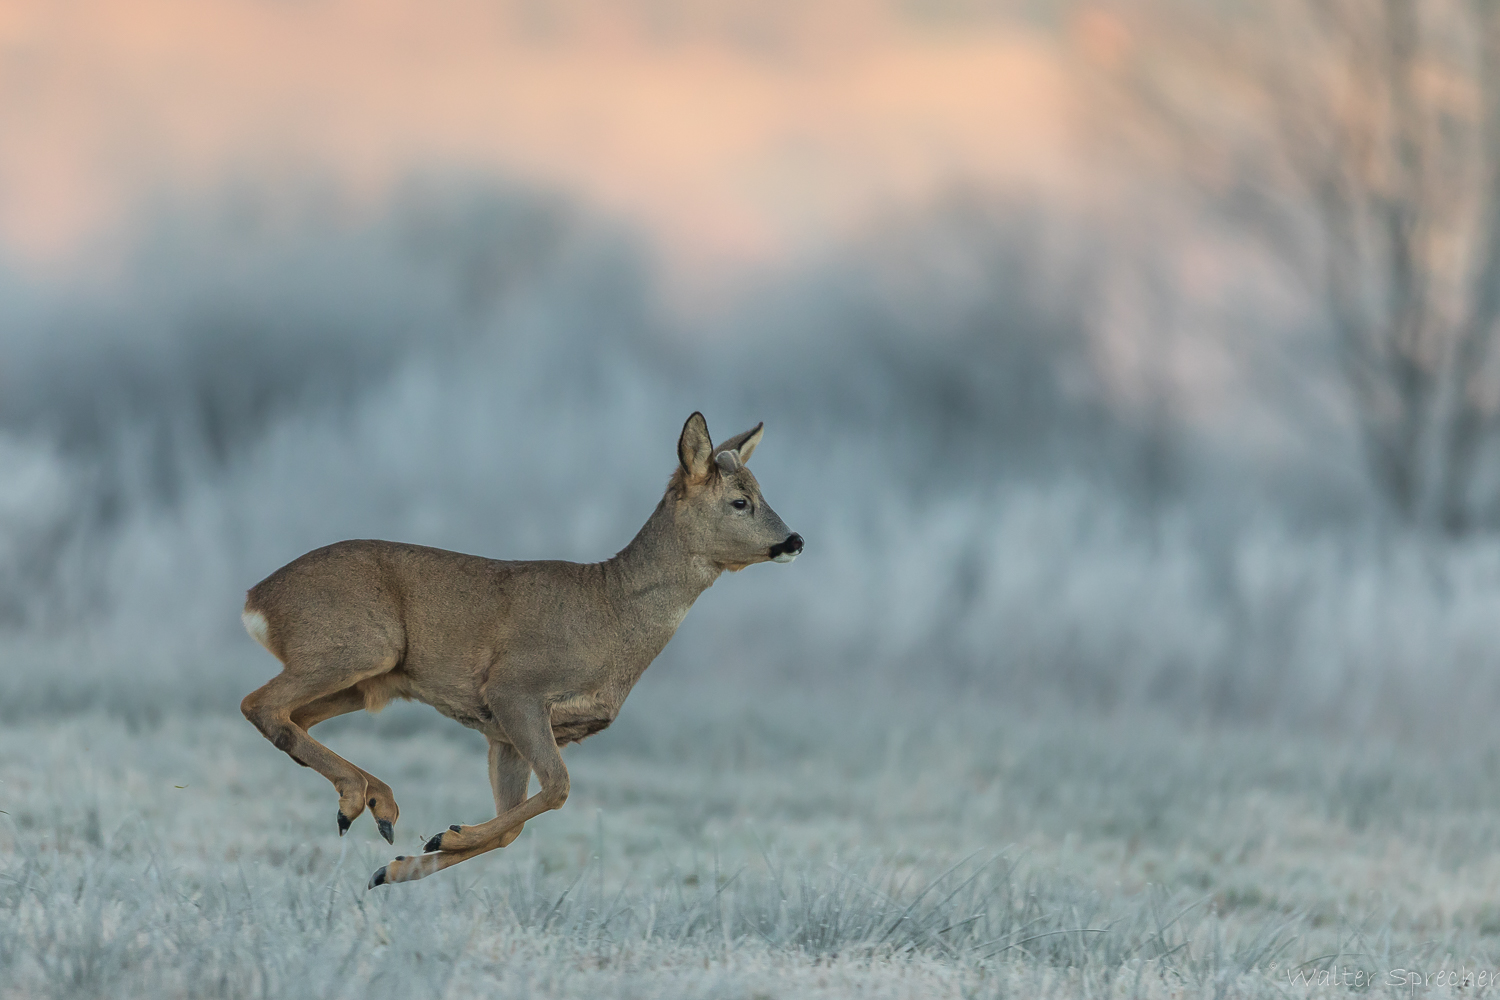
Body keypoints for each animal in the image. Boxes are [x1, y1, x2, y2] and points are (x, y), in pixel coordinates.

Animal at [237, 410, 798, 887]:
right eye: (740, 501)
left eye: (760, 491)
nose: (794, 540)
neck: (610, 616)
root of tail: (256, 599)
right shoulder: (515, 688)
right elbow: (558, 788)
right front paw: (445, 836)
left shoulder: (502, 734)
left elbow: (512, 825)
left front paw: (400, 865)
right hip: (360, 646)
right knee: (259, 704)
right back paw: (371, 801)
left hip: (367, 681)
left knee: (291, 717)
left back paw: (372, 805)